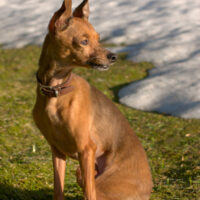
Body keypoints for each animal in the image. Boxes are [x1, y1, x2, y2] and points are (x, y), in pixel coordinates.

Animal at [32, 0, 152, 200]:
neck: (57, 91)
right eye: (84, 41)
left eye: (98, 38)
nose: (114, 57)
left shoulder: (86, 150)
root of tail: (148, 189)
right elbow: (58, 189)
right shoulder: (57, 151)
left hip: (100, 182)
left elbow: (89, 194)